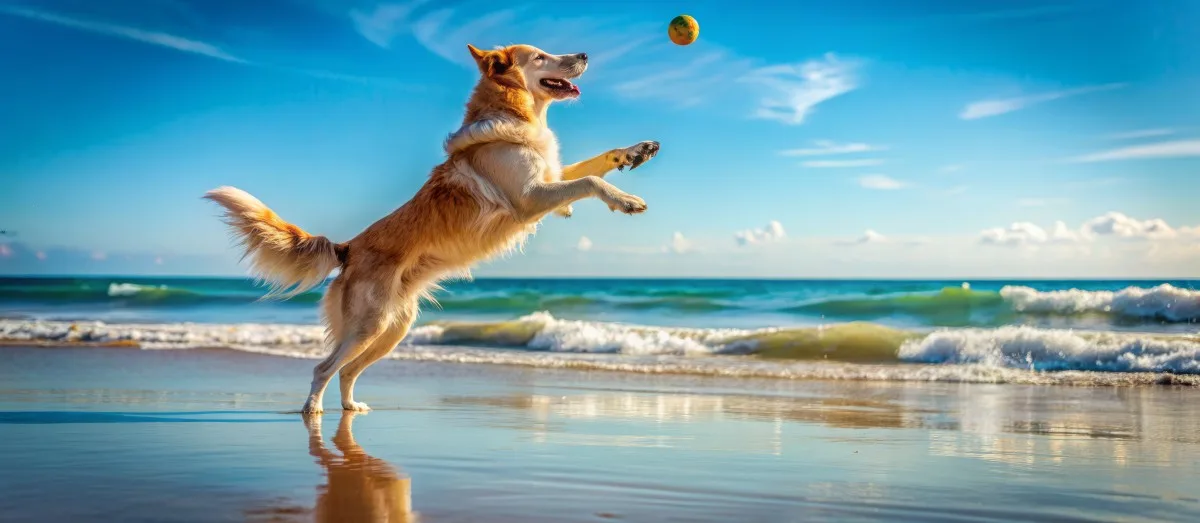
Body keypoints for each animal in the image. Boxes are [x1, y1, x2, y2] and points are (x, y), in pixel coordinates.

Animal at [202, 42, 662, 415]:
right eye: (540, 56)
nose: (585, 55)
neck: (513, 112)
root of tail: (348, 247)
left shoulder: (550, 180)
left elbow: (593, 164)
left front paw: (635, 151)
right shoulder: (531, 198)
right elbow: (589, 181)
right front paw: (626, 200)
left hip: (393, 329)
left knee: (348, 371)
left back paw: (351, 407)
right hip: (368, 326)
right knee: (324, 367)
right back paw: (312, 410)